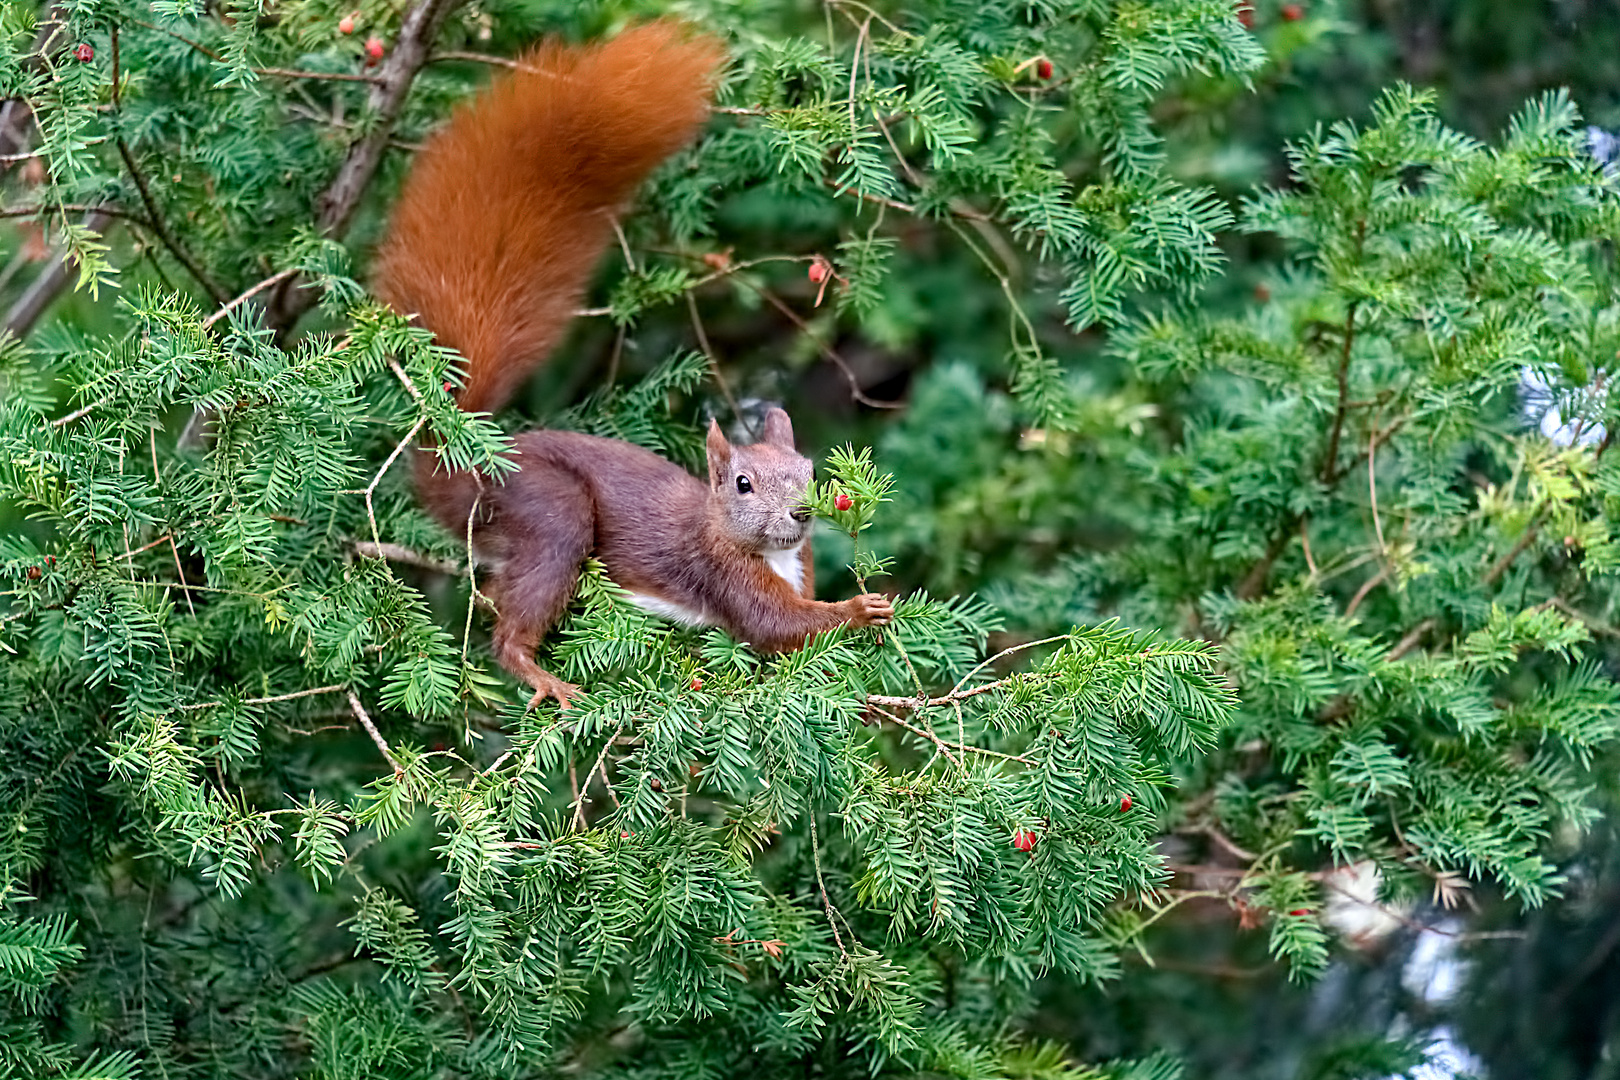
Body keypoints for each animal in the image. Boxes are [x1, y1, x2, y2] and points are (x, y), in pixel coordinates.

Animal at [372, 23, 894, 709]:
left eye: (810, 470)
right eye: (742, 484)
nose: (803, 514)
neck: (749, 543)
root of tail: (461, 467)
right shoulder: (723, 576)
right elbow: (778, 626)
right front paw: (860, 609)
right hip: (552, 512)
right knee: (509, 628)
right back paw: (548, 681)